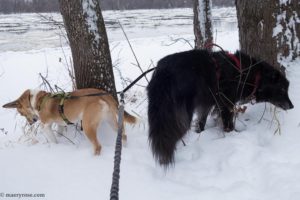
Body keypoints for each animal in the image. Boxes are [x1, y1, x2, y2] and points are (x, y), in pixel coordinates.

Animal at [2, 88, 136, 155]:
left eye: (21, 113)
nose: (30, 123)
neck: (37, 100)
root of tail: (104, 94)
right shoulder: (61, 124)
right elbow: (59, 133)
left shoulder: (45, 126)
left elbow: (53, 139)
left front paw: (56, 147)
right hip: (111, 120)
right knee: (123, 135)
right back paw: (125, 148)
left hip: (87, 126)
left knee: (98, 146)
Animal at [147, 49, 292, 166]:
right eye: (282, 89)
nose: (292, 106)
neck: (246, 73)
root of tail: (163, 71)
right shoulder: (226, 105)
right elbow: (228, 125)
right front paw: (233, 135)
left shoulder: (206, 105)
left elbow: (201, 122)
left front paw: (200, 133)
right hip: (181, 115)